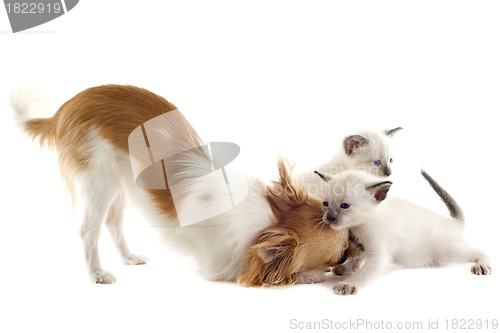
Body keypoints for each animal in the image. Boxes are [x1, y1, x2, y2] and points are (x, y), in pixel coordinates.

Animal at [11, 84, 356, 284]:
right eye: (339, 252)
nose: (354, 251)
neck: (268, 221)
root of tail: (64, 108)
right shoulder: (221, 268)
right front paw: (311, 274)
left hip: (119, 183)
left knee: (112, 221)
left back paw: (129, 258)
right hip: (100, 179)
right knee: (88, 229)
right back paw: (97, 273)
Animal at [314, 169, 490, 294]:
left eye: (345, 206)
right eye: (325, 204)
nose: (329, 218)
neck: (359, 225)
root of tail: (453, 223)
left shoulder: (378, 253)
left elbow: (364, 272)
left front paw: (348, 284)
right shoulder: (362, 244)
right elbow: (357, 259)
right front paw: (346, 269)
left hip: (447, 252)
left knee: (479, 251)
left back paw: (482, 265)